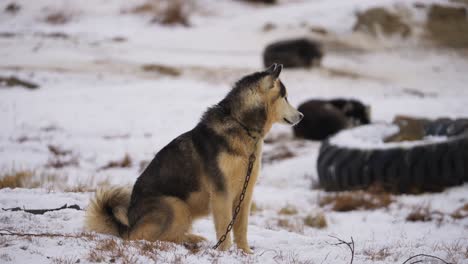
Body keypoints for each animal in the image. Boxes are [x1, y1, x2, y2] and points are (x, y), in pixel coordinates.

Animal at [84, 63, 304, 253]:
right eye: (286, 97)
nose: (301, 115)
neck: (242, 126)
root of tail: (128, 223)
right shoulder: (221, 191)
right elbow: (225, 226)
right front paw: (224, 251)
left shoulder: (245, 192)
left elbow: (241, 229)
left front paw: (246, 253)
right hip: (176, 206)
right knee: (143, 237)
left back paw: (192, 238)